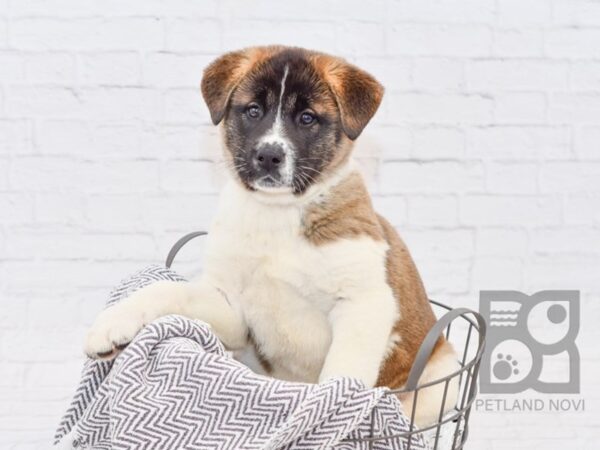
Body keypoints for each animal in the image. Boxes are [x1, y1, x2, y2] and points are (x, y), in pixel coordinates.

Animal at [85, 46, 460, 428]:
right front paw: (113, 323)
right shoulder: (234, 310)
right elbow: (168, 290)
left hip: (438, 383)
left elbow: (343, 376)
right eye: (253, 110)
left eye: (307, 118)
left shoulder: (364, 302)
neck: (276, 214)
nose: (268, 155)